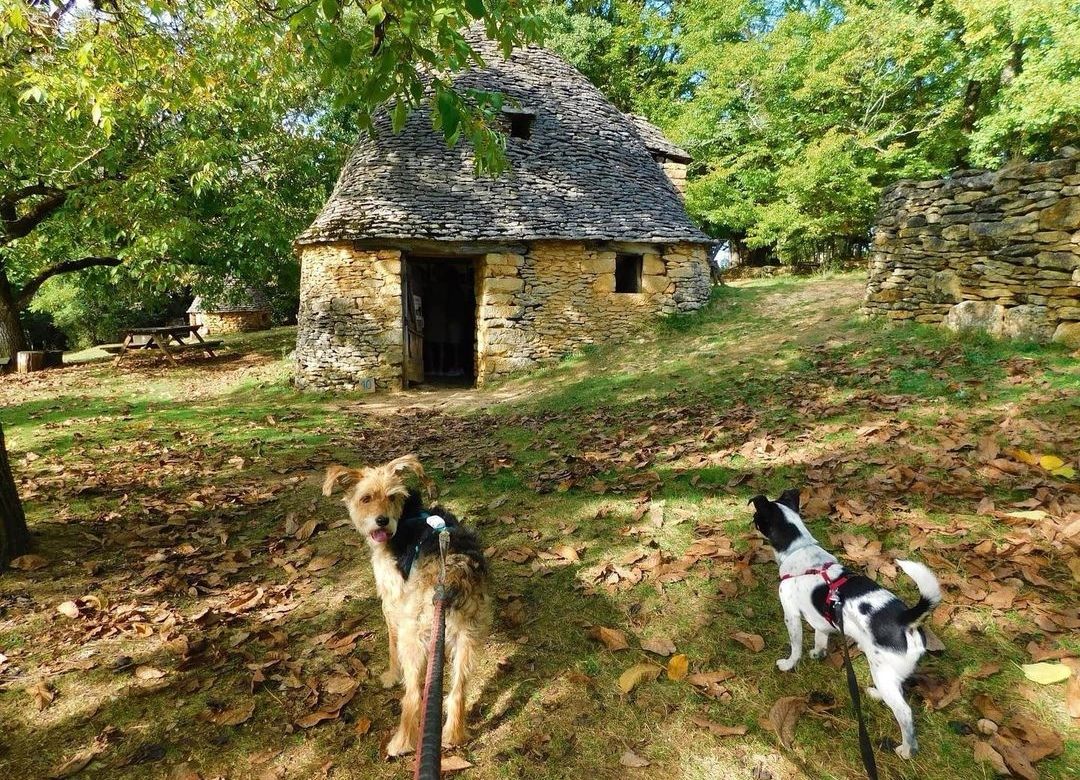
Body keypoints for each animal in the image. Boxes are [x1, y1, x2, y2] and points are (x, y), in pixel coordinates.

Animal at [319, 453, 490, 756]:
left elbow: (390, 642)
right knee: (457, 692)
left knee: (413, 696)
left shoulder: (391, 600)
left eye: (391, 496)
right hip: (467, 638)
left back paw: (401, 743)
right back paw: (453, 736)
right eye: (366, 498)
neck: (408, 512)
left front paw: (390, 674)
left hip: (414, 637)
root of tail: (454, 571)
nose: (382, 521)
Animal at [747, 488, 941, 756]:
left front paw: (788, 664)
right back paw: (876, 694)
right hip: (889, 671)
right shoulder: (820, 621)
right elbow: (820, 639)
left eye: (757, 517)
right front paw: (818, 654)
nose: (749, 522)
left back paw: (906, 749)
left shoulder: (791, 614)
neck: (799, 548)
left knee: (904, 712)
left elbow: (795, 646)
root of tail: (905, 619)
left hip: (882, 669)